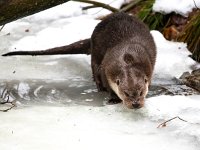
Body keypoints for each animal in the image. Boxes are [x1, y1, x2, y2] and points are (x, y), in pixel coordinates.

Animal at [2, 12, 157, 109]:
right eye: (126, 93)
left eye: (141, 92)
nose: (136, 104)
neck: (127, 60)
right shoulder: (107, 69)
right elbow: (107, 83)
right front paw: (113, 98)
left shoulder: (148, 66)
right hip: (96, 51)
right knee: (94, 69)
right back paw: (99, 88)